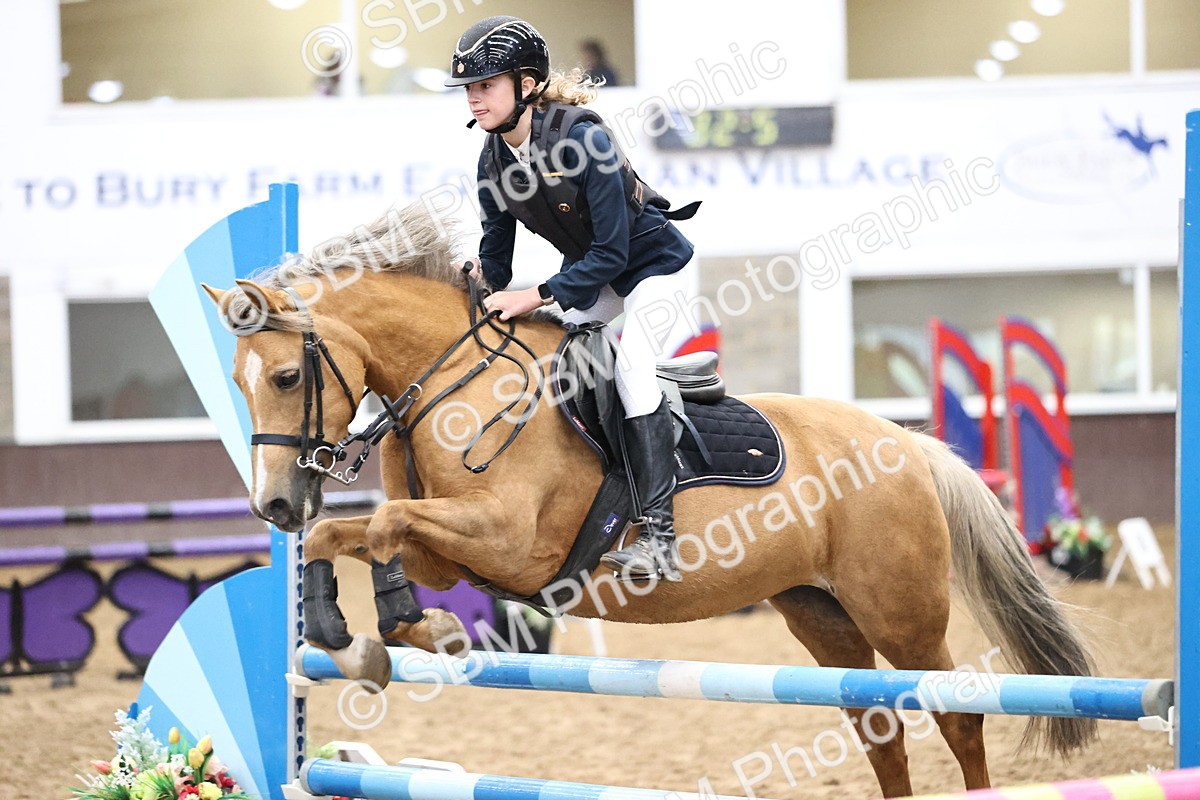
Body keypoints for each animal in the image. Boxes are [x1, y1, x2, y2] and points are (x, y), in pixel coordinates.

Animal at [202, 202, 1096, 798]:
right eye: (241, 384)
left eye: (287, 377)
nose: (274, 506)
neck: (455, 380)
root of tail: (908, 445)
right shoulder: (455, 553)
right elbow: (353, 536)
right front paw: (371, 635)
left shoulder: (512, 542)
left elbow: (378, 524)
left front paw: (391, 632)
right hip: (823, 614)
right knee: (879, 728)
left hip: (900, 613)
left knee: (956, 716)